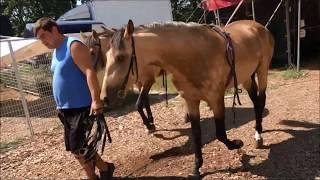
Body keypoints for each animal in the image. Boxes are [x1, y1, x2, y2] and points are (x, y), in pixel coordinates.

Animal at [101, 19, 274, 178]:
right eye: (106, 56)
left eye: (121, 57)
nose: (105, 98)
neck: (194, 56)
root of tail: (257, 25)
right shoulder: (191, 101)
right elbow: (196, 134)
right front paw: (197, 168)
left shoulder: (216, 99)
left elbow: (220, 133)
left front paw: (237, 144)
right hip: (246, 77)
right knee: (256, 102)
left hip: (262, 70)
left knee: (261, 100)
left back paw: (259, 135)